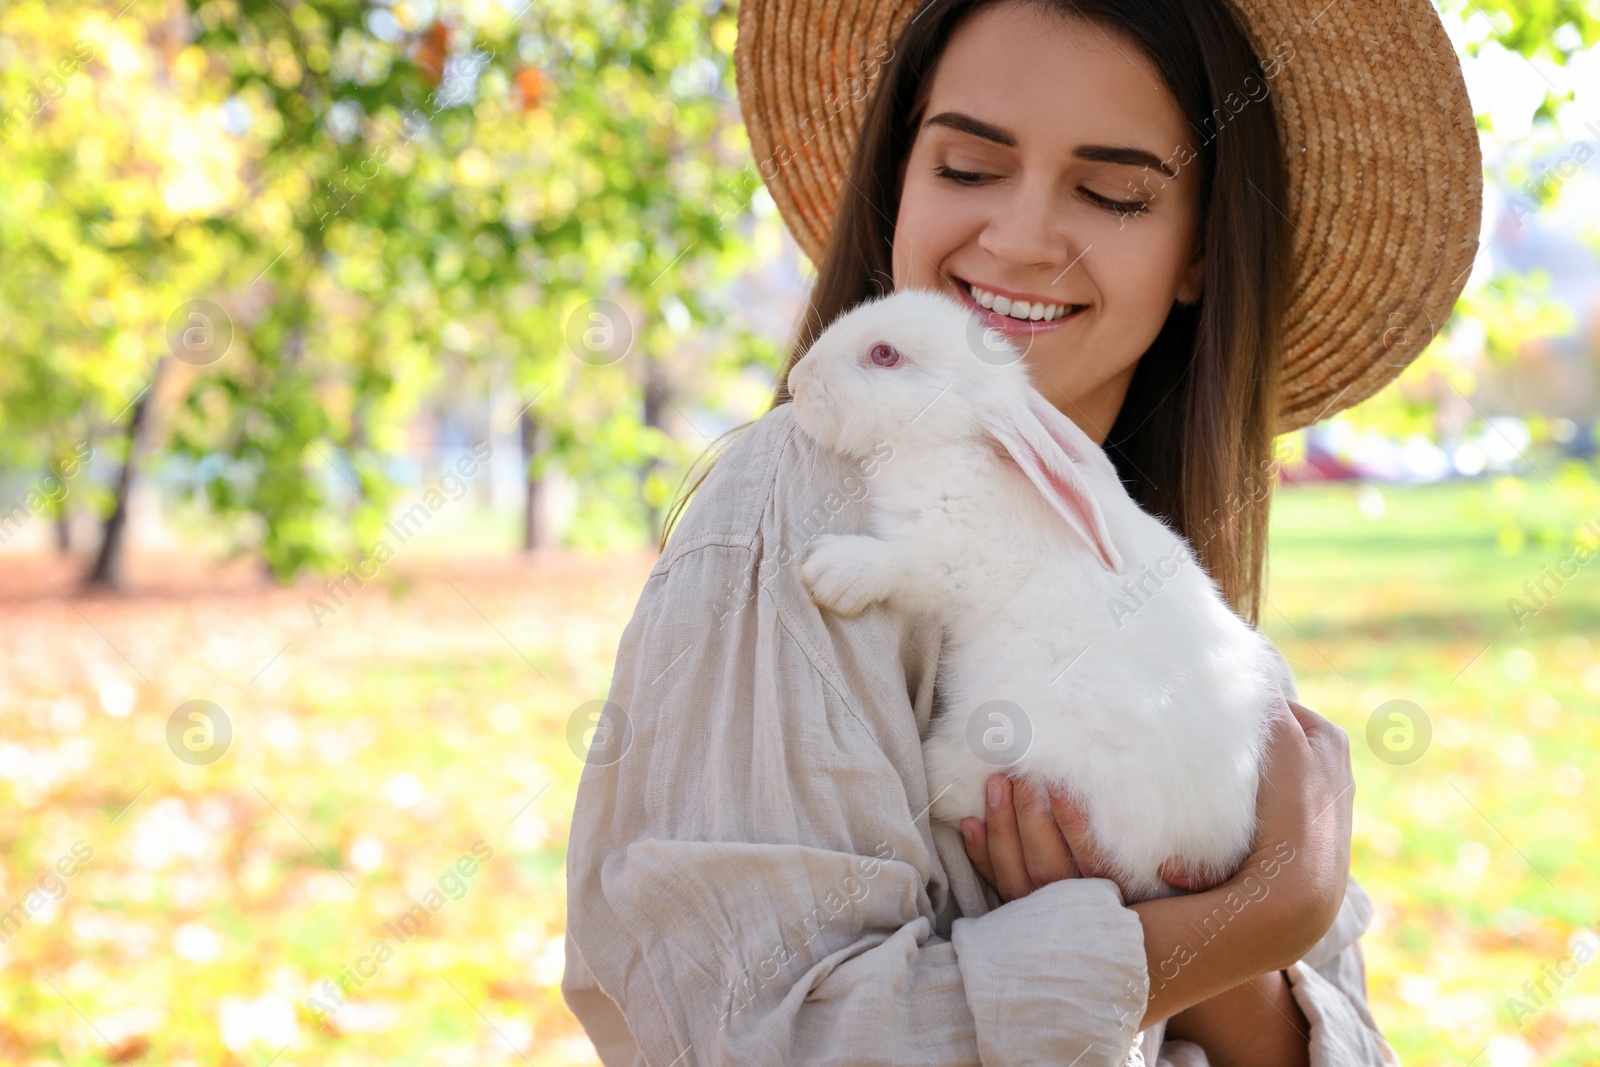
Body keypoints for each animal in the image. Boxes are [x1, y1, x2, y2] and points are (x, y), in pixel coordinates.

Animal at [793, 287, 1292, 908]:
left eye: (884, 354)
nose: (795, 382)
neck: (955, 445)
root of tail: (1197, 853)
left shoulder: (951, 559)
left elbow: (901, 565)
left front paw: (830, 571)